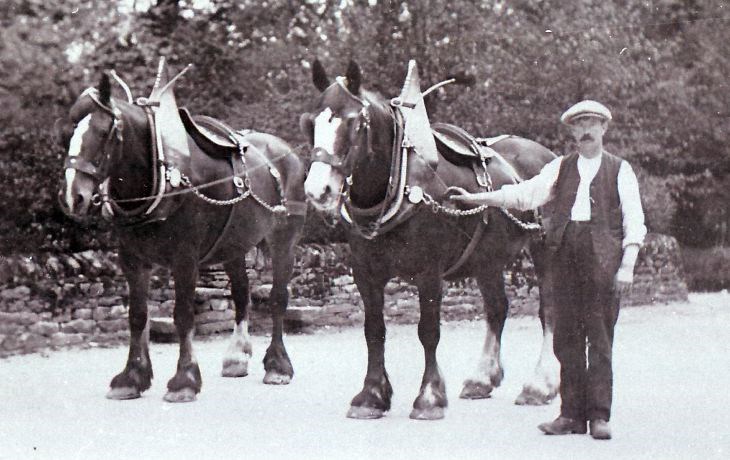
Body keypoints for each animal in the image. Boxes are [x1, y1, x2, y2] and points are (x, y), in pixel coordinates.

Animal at [58, 69, 306, 402]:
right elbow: (137, 315)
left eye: (102, 131)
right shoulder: (132, 259)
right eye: (67, 133)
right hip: (234, 243)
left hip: (284, 241)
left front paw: (185, 379)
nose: (74, 196)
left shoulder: (185, 257)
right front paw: (132, 376)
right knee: (242, 294)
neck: (161, 174)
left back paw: (278, 365)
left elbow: (184, 315)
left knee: (278, 298)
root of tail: (282, 151)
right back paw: (237, 356)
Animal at [298, 61, 560, 420]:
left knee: (547, 311)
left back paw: (540, 385)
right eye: (311, 123)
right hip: (487, 259)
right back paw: (482, 378)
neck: (400, 182)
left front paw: (430, 397)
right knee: (496, 309)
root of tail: (547, 155)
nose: (318, 190)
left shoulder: (429, 273)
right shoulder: (365, 273)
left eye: (354, 122)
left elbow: (428, 331)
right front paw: (371, 395)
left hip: (543, 249)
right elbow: (374, 330)